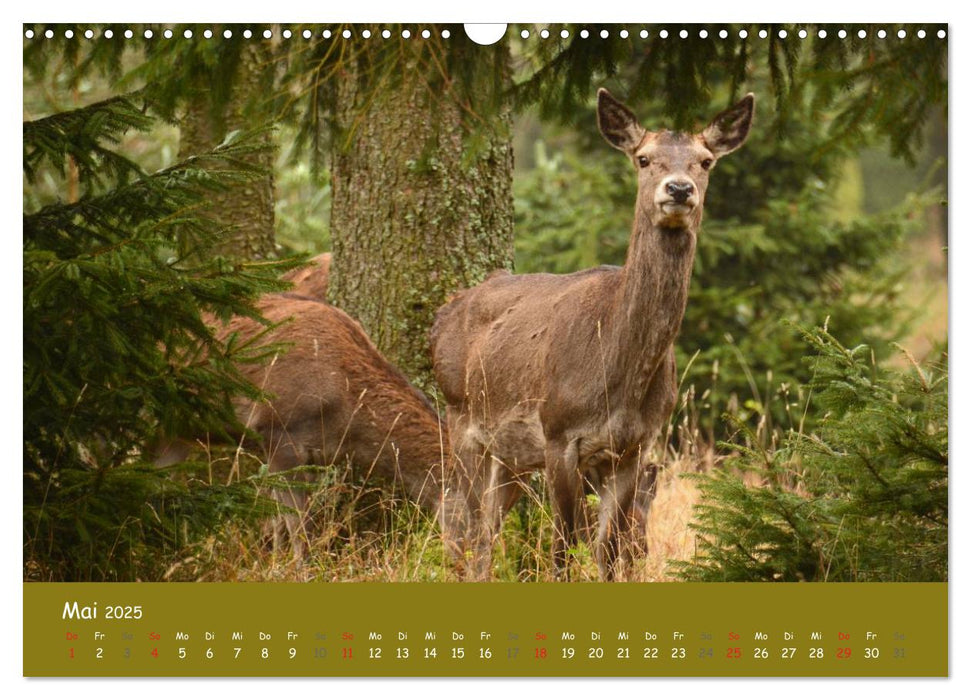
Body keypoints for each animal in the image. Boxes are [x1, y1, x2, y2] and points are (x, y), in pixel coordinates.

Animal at [430, 89, 756, 580]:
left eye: (706, 161)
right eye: (643, 158)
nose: (679, 189)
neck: (620, 379)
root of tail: (442, 316)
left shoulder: (633, 448)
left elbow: (611, 551)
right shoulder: (559, 434)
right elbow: (562, 550)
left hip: (510, 456)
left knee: (485, 533)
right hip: (463, 421)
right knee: (468, 533)